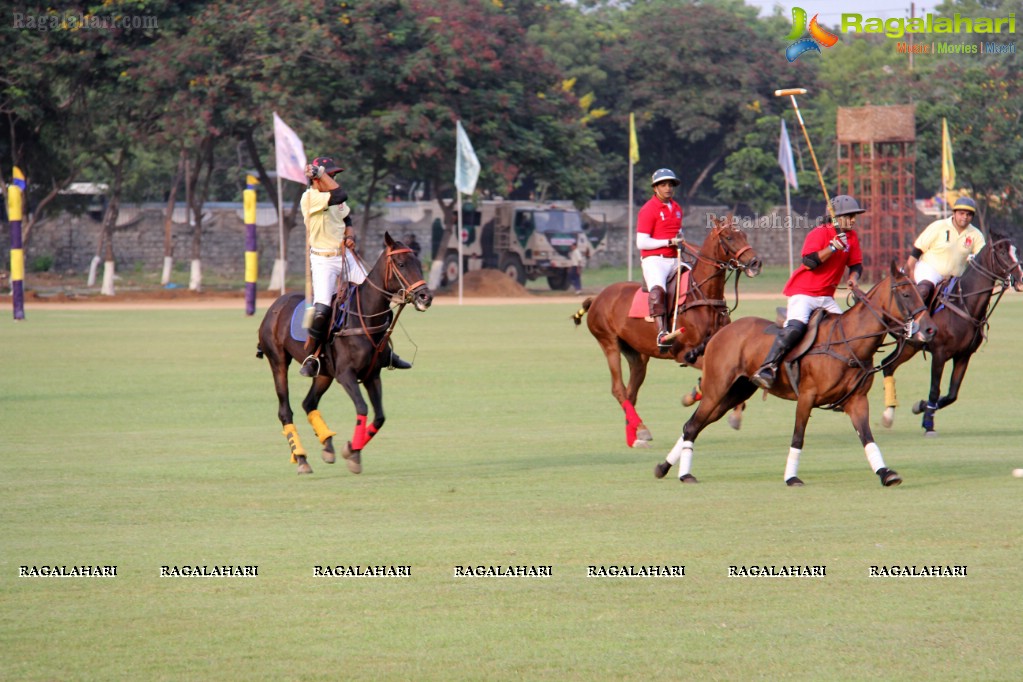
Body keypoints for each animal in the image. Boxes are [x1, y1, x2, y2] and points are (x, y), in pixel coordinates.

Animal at [257, 233, 433, 474]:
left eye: (418, 262)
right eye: (401, 264)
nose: (426, 297)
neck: (365, 316)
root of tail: (275, 304)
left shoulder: (372, 375)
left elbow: (380, 417)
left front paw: (351, 449)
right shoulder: (346, 375)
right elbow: (362, 407)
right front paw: (353, 453)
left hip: (324, 373)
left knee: (309, 403)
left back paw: (327, 444)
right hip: (278, 362)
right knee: (285, 410)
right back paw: (301, 458)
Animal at [572, 217, 765, 447]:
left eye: (744, 235)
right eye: (729, 237)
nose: (755, 263)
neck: (703, 297)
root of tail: (597, 298)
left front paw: (729, 410)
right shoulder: (684, 353)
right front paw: (697, 397)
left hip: (637, 355)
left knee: (631, 392)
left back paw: (633, 436)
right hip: (608, 342)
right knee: (618, 388)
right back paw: (642, 430)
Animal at [658, 263, 937, 490]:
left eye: (922, 293)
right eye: (906, 294)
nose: (930, 329)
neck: (849, 343)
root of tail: (718, 333)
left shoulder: (857, 401)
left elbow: (868, 438)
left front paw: (886, 474)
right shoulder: (807, 397)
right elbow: (798, 436)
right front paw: (791, 477)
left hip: (734, 393)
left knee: (694, 425)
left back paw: (664, 467)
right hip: (717, 389)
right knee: (692, 425)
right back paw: (683, 474)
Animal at [879, 237, 1023, 435]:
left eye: (1015, 251)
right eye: (1002, 252)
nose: (1021, 279)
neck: (965, 305)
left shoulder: (964, 355)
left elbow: (952, 395)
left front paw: (921, 407)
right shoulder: (940, 353)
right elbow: (935, 390)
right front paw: (929, 425)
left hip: (909, 346)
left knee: (887, 365)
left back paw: (888, 416)